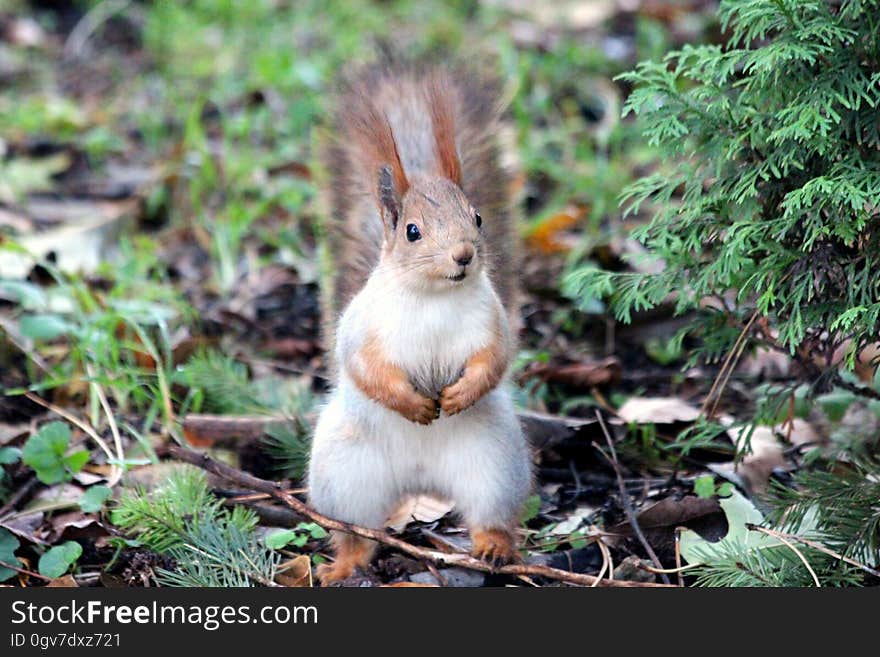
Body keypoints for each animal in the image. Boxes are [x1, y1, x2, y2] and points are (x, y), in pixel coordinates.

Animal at [310, 56, 528, 584]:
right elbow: (365, 368)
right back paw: (344, 565)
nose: (464, 255)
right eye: (413, 232)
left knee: (490, 515)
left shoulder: (492, 323)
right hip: (343, 473)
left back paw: (494, 548)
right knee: (353, 533)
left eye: (477, 218)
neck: (433, 297)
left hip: (495, 464)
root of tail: (421, 482)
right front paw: (412, 405)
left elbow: (494, 360)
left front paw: (460, 395)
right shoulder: (364, 329)